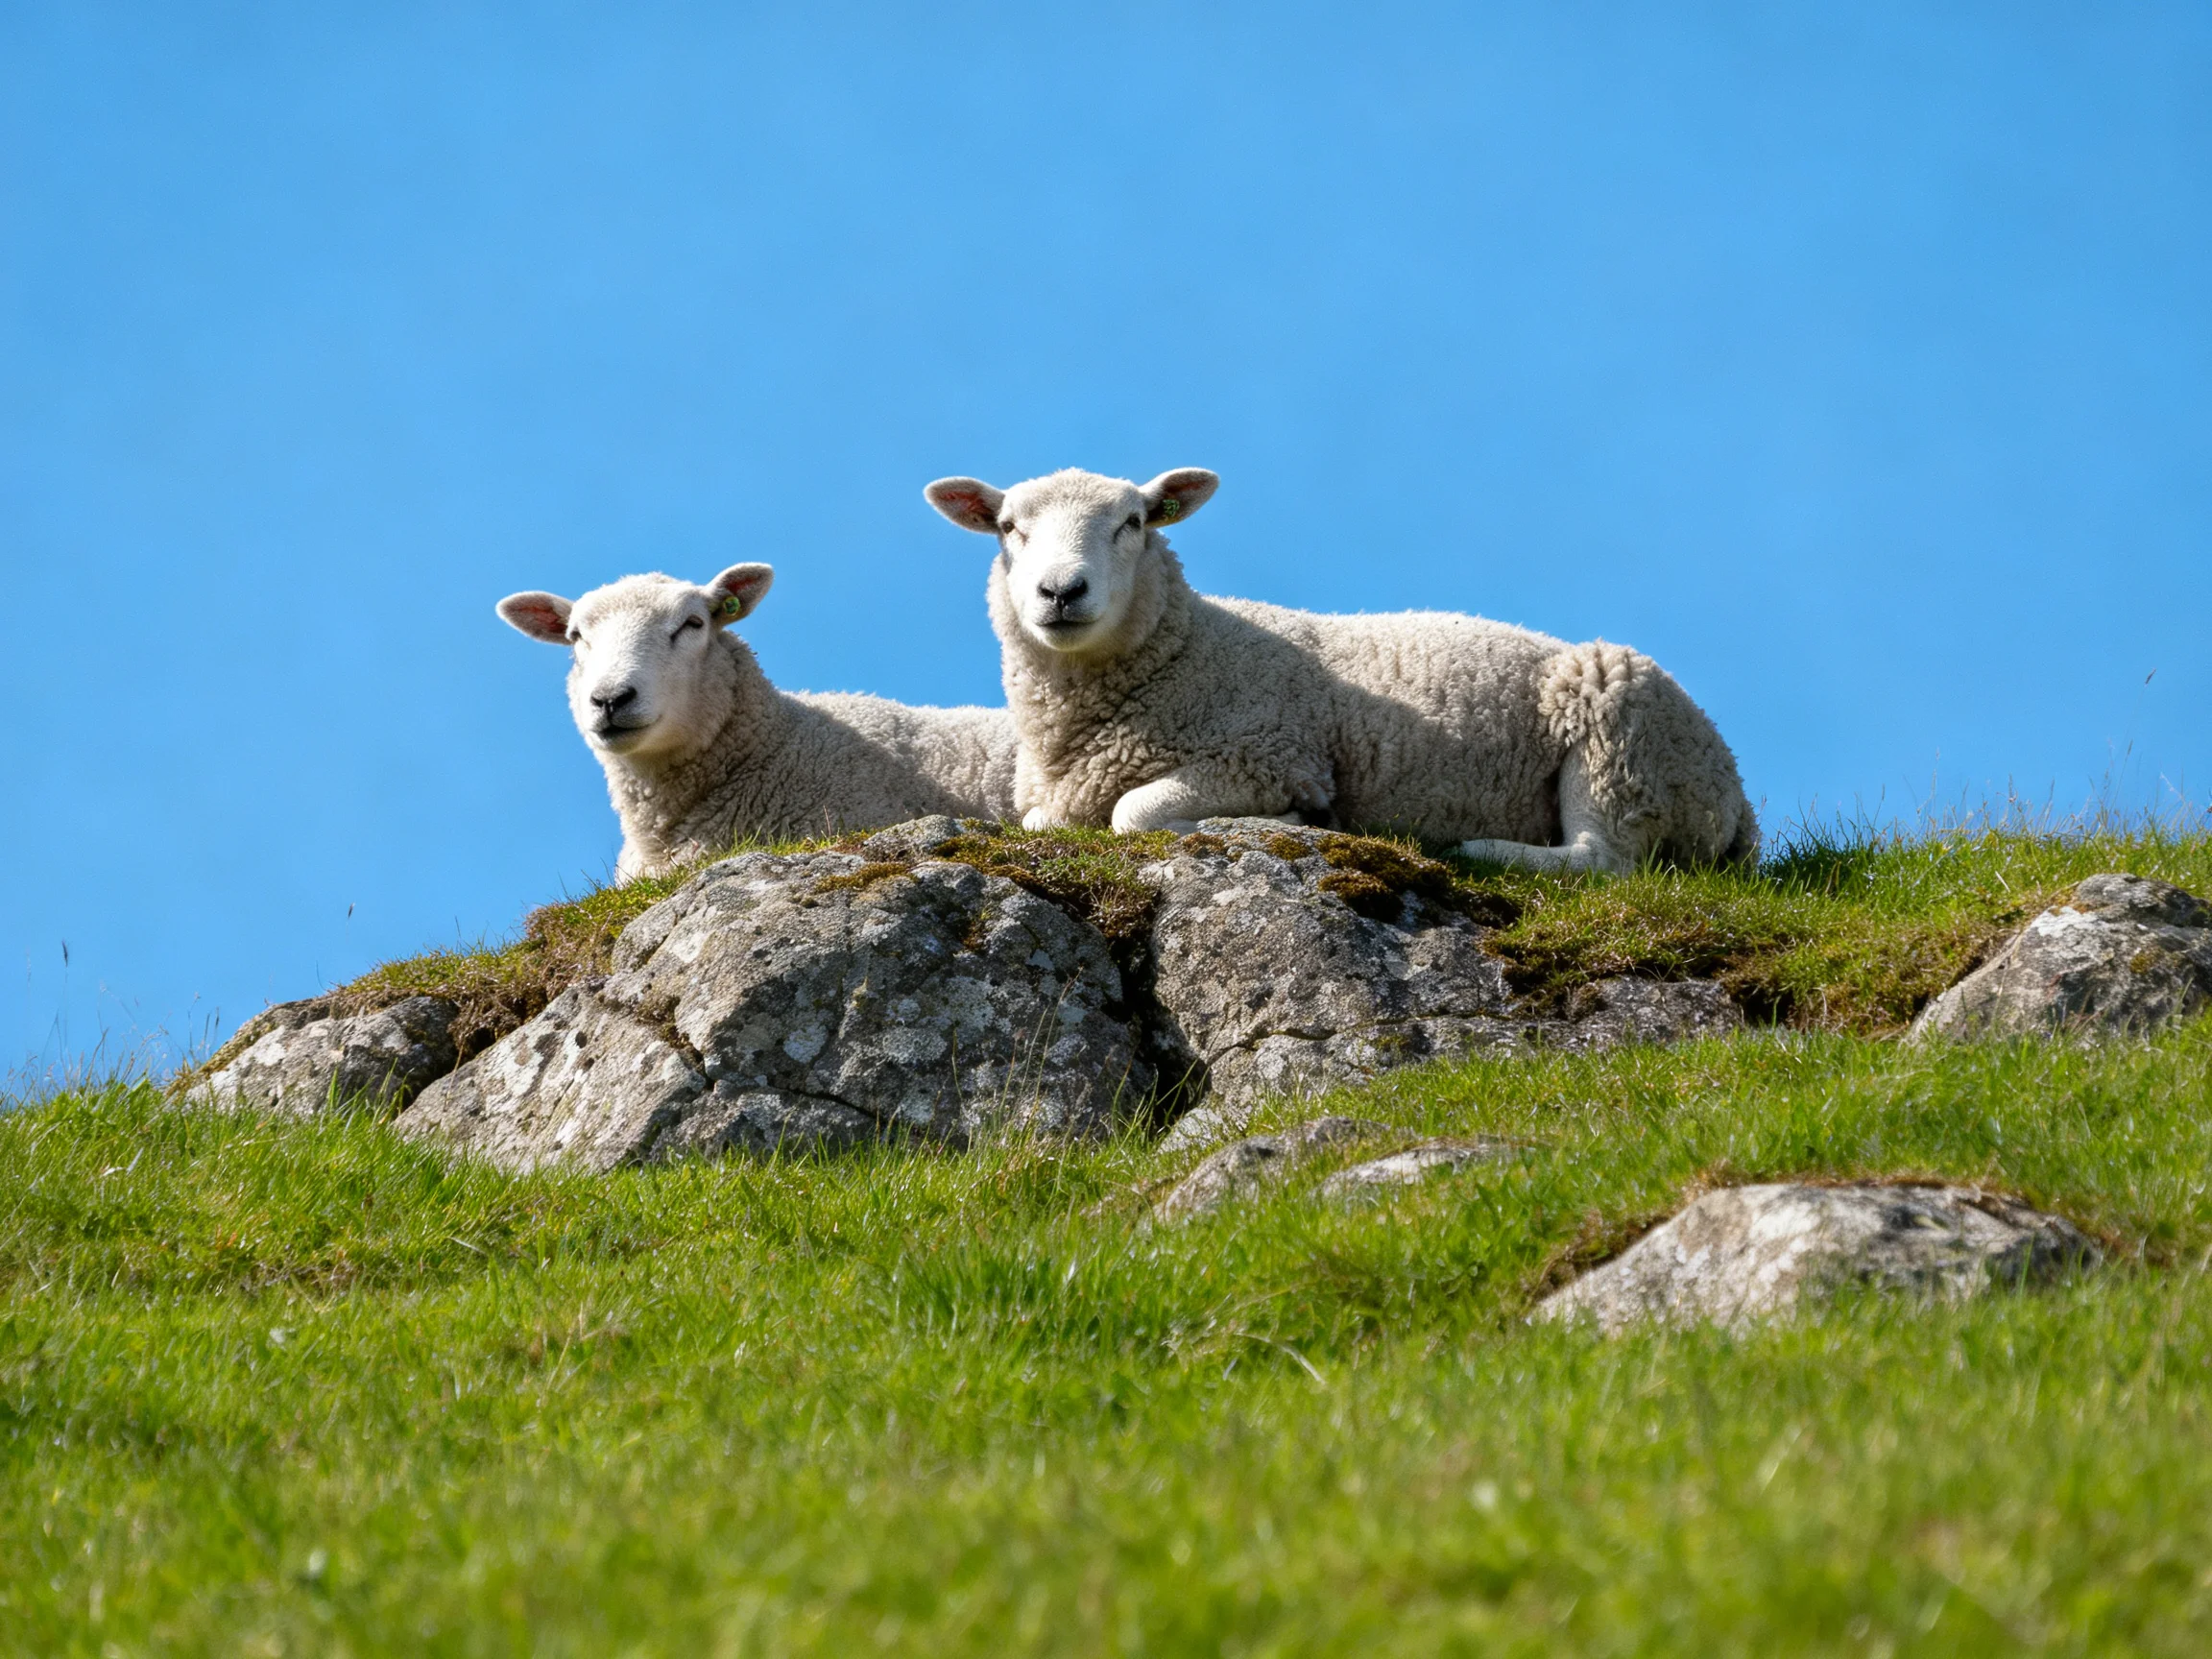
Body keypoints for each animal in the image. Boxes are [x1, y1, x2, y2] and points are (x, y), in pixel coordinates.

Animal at [922, 468, 1756, 873]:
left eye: (1133, 523)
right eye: (1007, 528)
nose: (1061, 592)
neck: (1192, 647)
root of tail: (1735, 794)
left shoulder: (1268, 756)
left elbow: (1134, 813)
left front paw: (1274, 826)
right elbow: (1047, 821)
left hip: (1621, 744)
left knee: (1606, 861)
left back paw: (1483, 852)